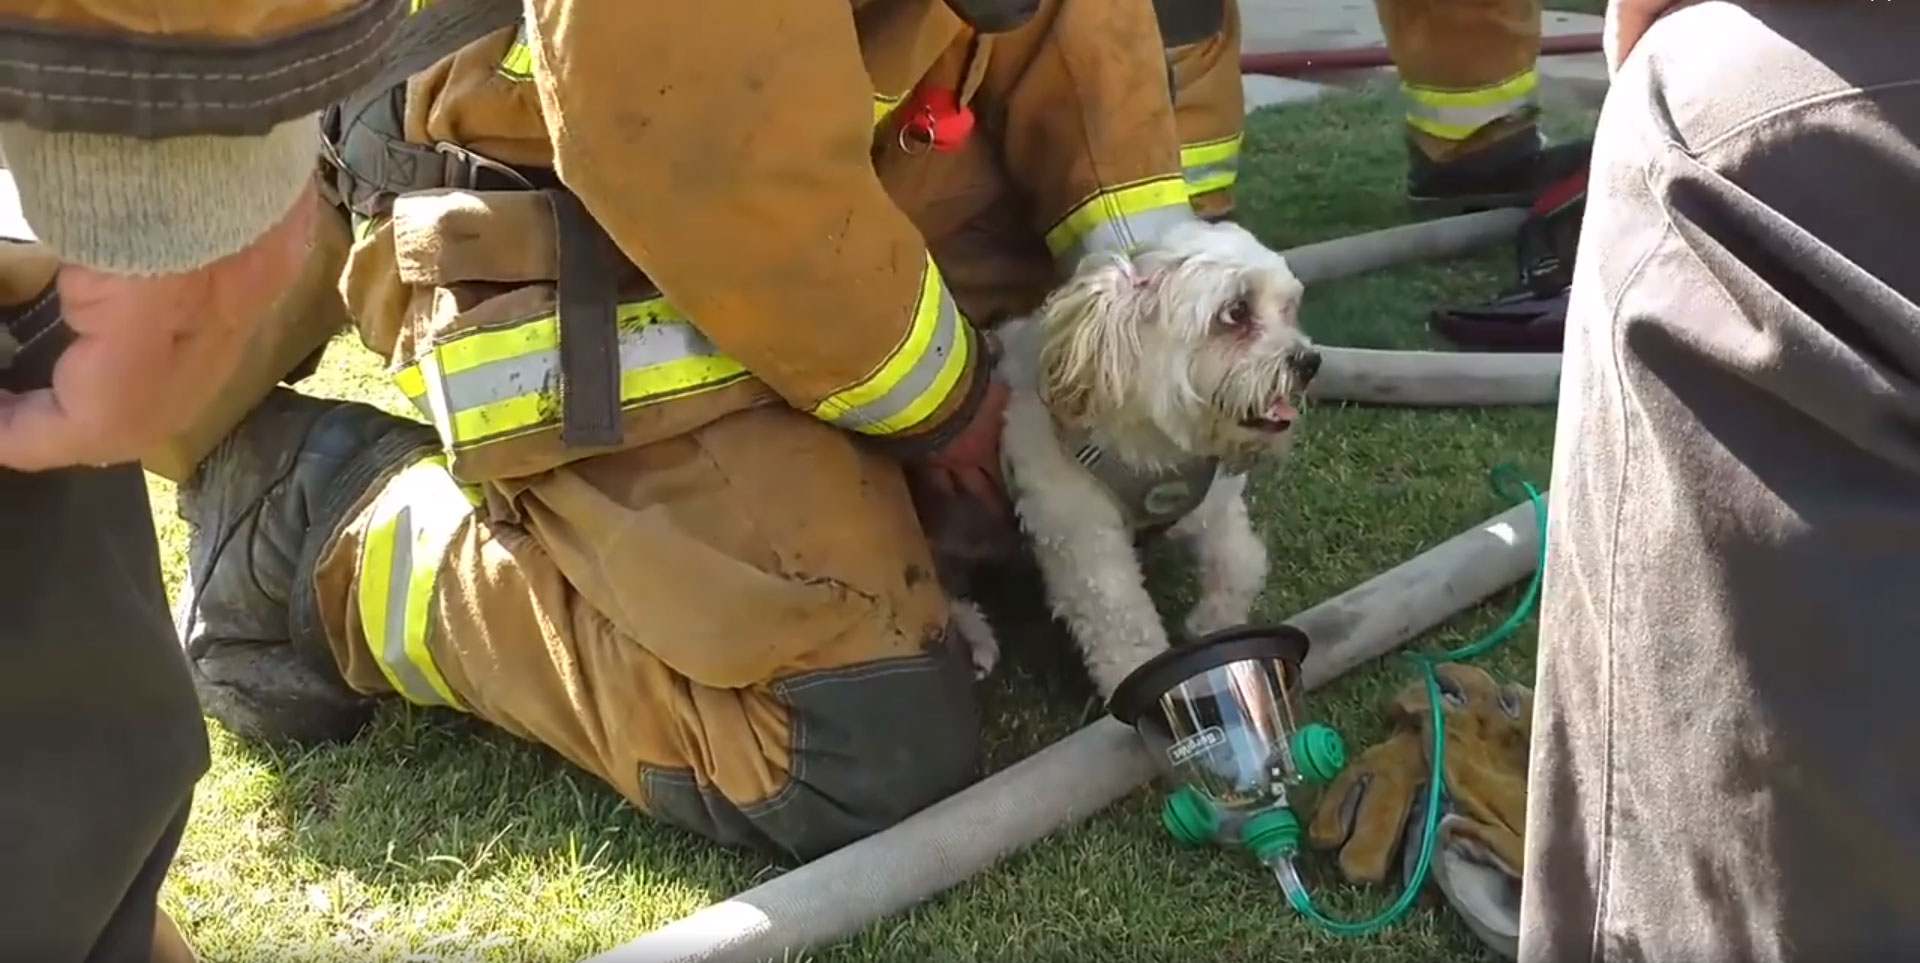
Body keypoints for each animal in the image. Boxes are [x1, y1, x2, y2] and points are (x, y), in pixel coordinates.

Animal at [940, 220, 1320, 694]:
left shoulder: (1211, 503)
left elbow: (1242, 561)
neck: (1154, 444)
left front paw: (1213, 621)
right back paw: (974, 635)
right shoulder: (1081, 539)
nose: (1310, 361)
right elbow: (1122, 624)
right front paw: (1139, 678)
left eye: (1287, 308)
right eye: (1235, 312)